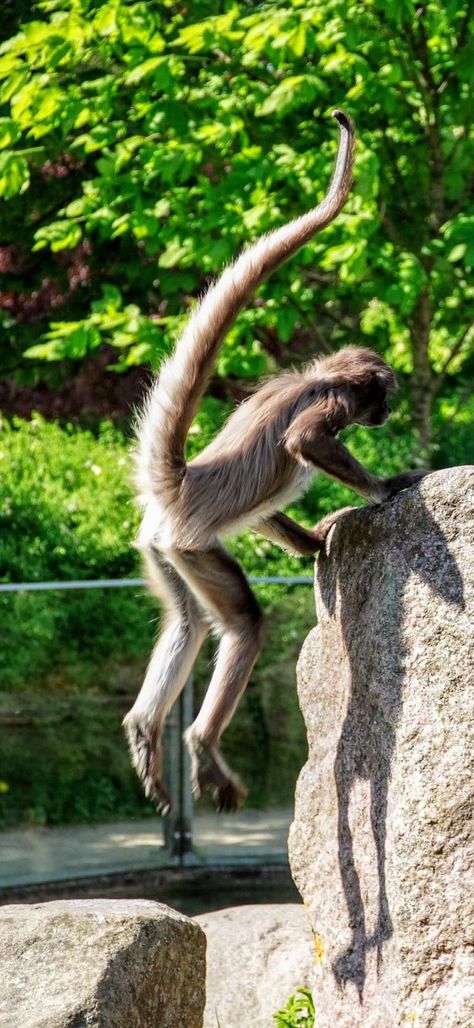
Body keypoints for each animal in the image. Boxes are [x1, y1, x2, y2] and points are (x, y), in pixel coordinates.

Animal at [122, 112, 425, 814]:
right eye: (384, 396)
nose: (389, 413)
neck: (313, 377)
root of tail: (182, 484)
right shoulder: (329, 404)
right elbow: (304, 444)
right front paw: (383, 490)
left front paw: (315, 538)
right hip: (193, 543)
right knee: (242, 623)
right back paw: (202, 746)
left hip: (162, 548)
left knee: (186, 622)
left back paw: (145, 731)